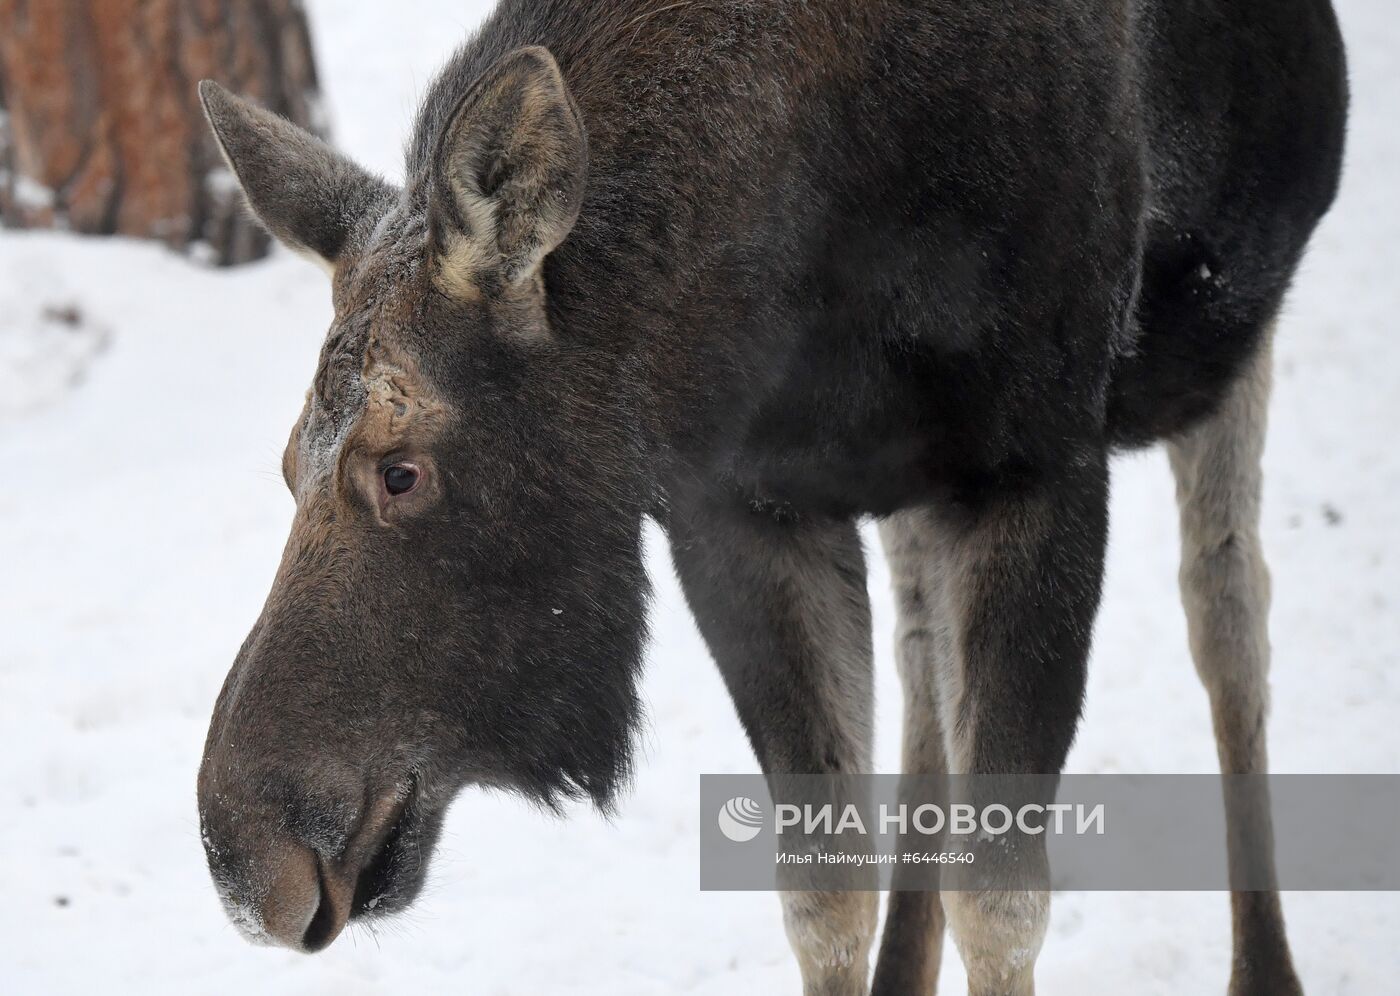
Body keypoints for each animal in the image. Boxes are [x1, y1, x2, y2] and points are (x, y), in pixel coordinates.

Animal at [197, 1, 1344, 991]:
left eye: (400, 468)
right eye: (287, 463)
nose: (245, 857)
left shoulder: (1036, 472)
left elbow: (1002, 904)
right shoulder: (743, 509)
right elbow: (824, 896)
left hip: (1228, 335)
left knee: (1228, 612)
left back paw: (1268, 966)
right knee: (924, 659)